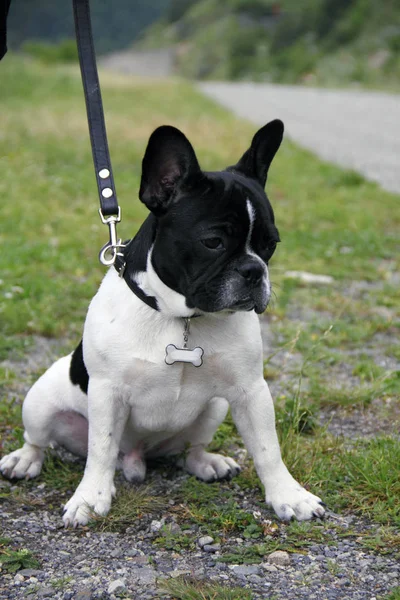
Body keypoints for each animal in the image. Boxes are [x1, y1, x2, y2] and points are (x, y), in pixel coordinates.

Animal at [0, 122, 324, 524]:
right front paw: (90, 498)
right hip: (41, 400)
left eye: (271, 245)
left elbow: (268, 448)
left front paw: (288, 495)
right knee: (40, 439)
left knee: (189, 449)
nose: (254, 270)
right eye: (213, 242)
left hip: (215, 408)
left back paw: (207, 462)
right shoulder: (107, 393)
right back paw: (24, 460)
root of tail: (138, 456)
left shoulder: (251, 391)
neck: (182, 318)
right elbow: (101, 449)